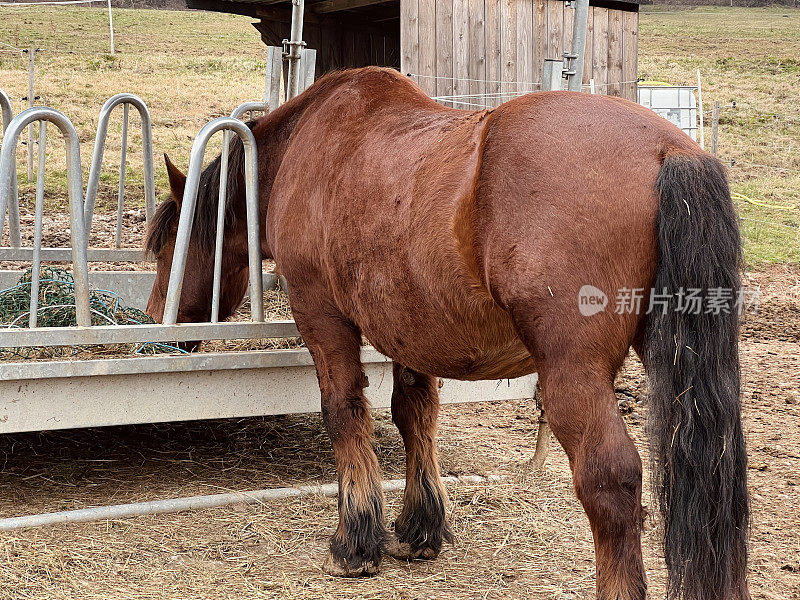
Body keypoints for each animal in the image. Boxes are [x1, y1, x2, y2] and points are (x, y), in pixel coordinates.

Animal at [147, 67, 752, 600]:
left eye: (165, 247)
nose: (157, 322)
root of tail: (670, 150)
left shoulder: (323, 316)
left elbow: (345, 412)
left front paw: (355, 542)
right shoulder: (411, 330)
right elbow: (415, 415)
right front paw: (420, 527)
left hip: (572, 375)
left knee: (611, 481)